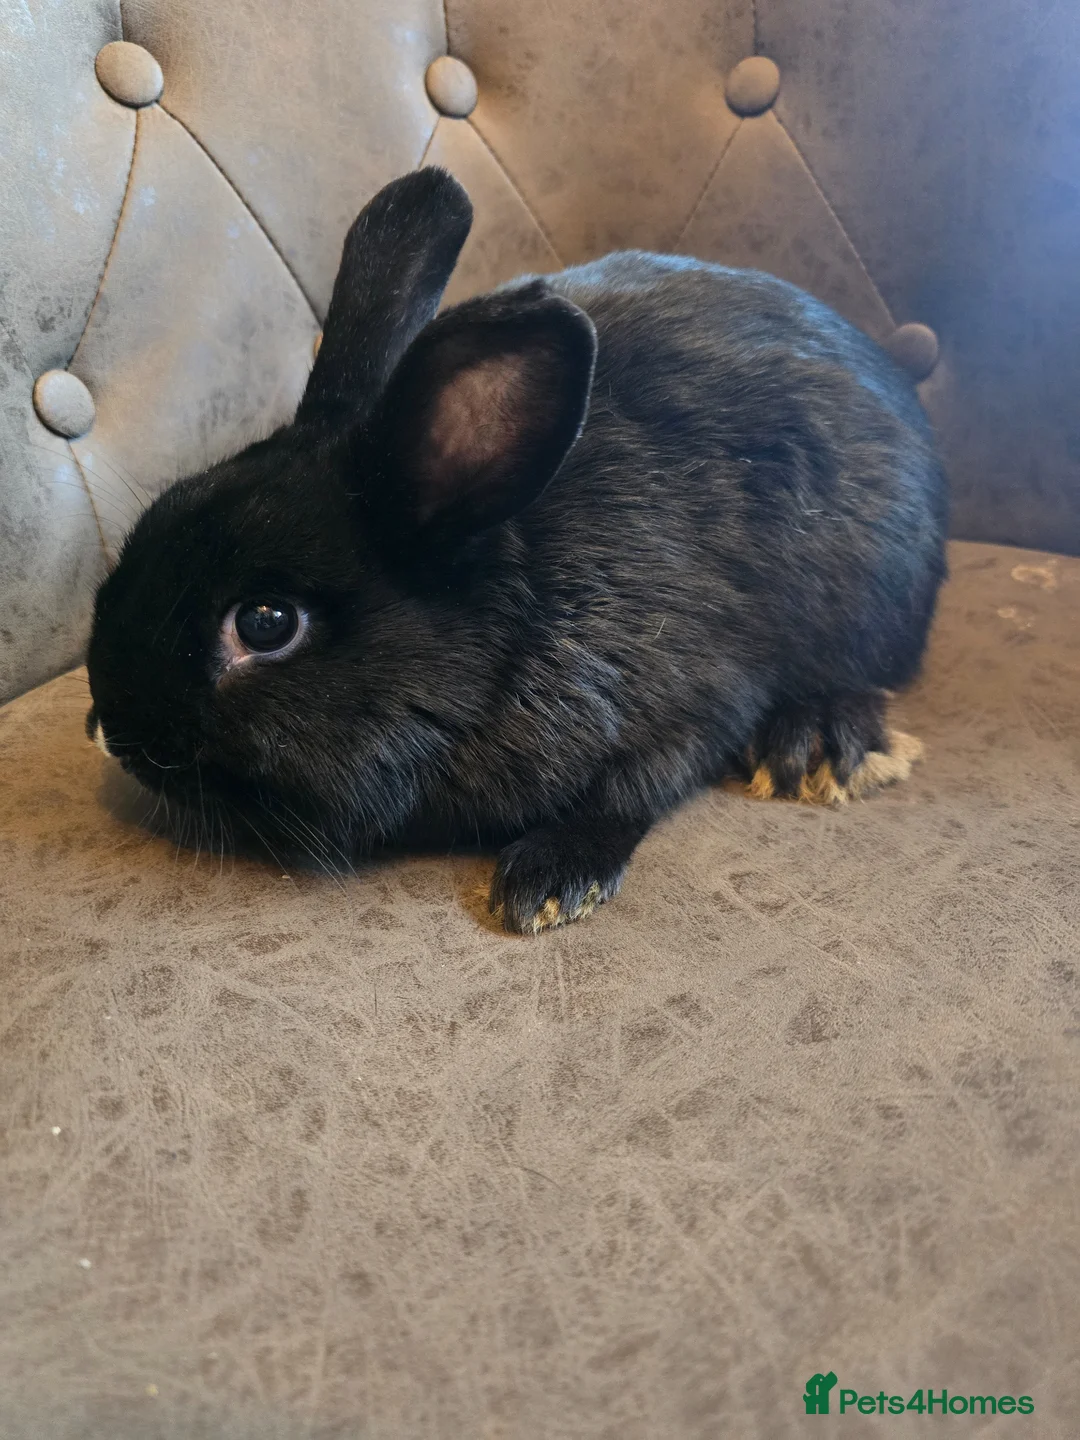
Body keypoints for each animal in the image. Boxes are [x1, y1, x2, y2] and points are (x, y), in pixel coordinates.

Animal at [85, 167, 948, 934]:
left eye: (265, 623)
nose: (112, 729)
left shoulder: (700, 691)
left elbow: (638, 786)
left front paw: (550, 881)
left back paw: (821, 745)